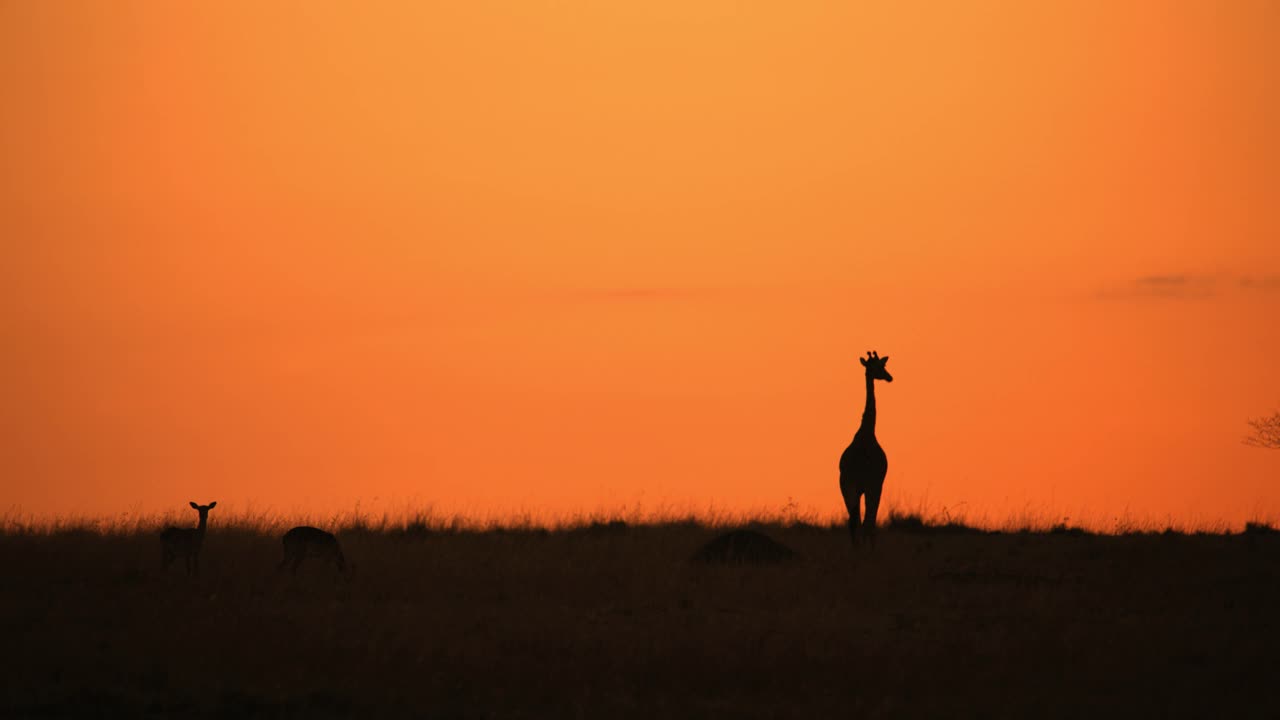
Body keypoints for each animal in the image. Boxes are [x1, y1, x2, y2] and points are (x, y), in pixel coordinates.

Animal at [839, 351, 890, 545]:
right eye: (880, 367)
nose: (890, 377)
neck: (866, 432)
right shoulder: (876, 484)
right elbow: (871, 521)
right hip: (864, 486)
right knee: (865, 521)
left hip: (847, 486)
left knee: (853, 521)